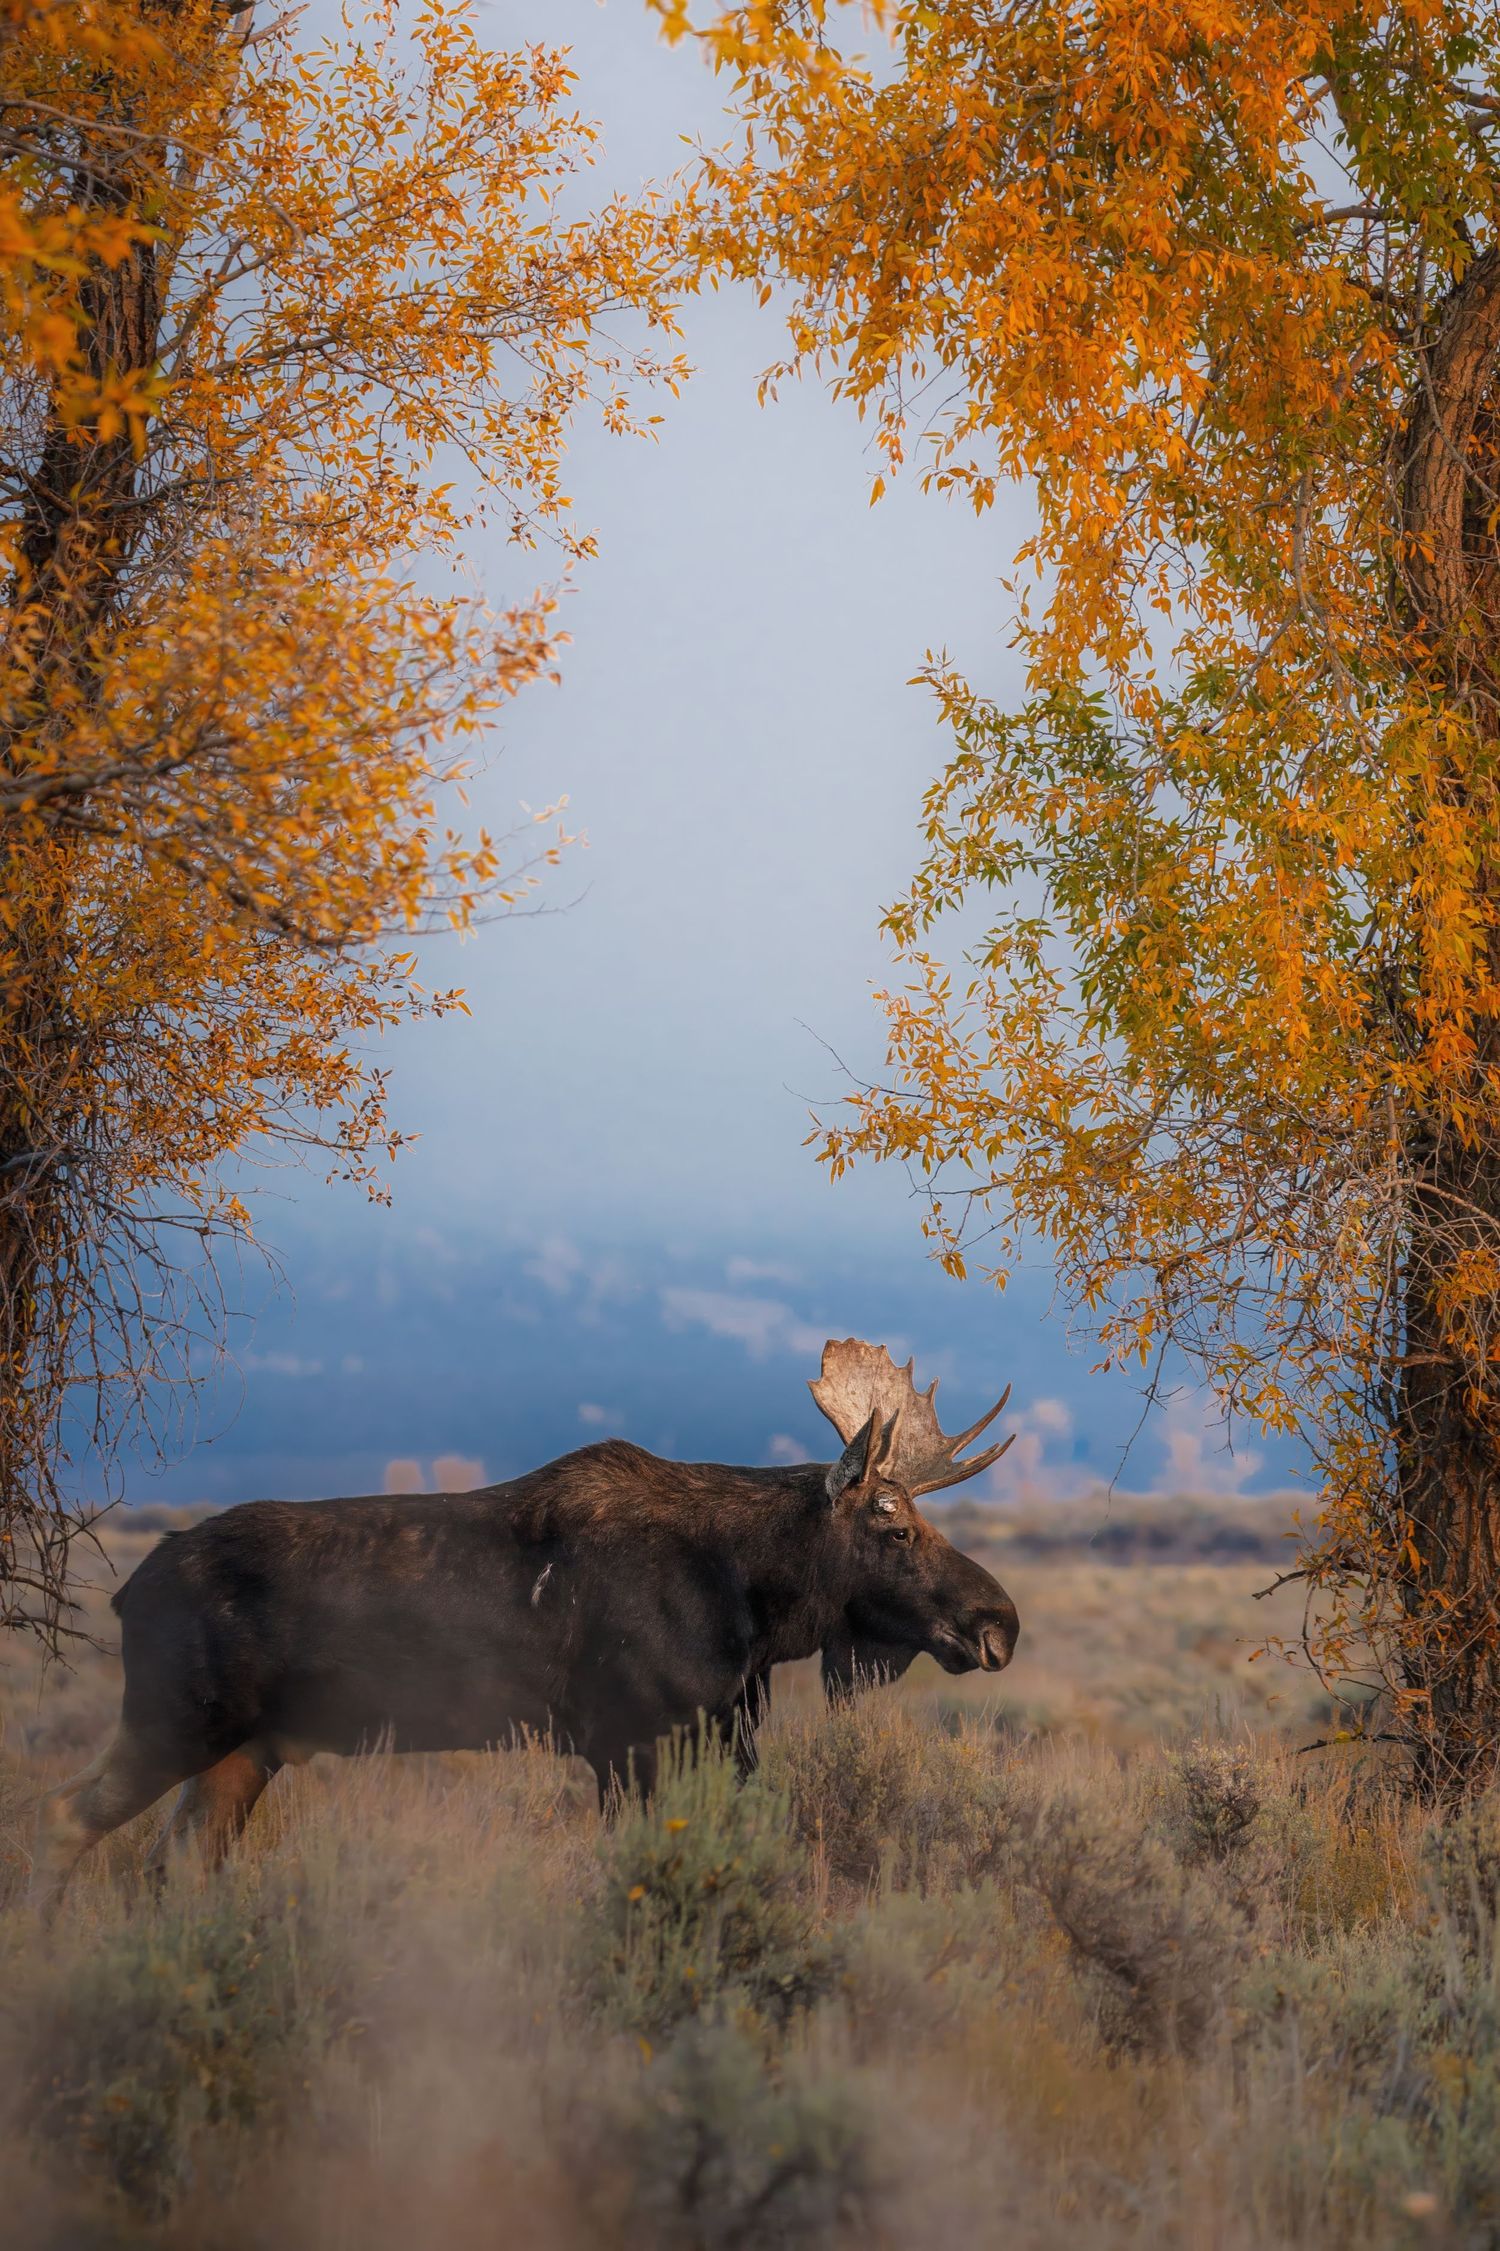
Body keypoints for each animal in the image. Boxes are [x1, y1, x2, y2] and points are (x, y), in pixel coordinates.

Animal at [30, 1338, 1018, 1912]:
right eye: (894, 1525)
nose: (998, 1621)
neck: (755, 1600)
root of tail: (128, 1592)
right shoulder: (629, 1740)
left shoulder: (708, 1737)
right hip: (175, 1722)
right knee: (62, 1817)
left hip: (247, 1751)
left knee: (174, 1863)